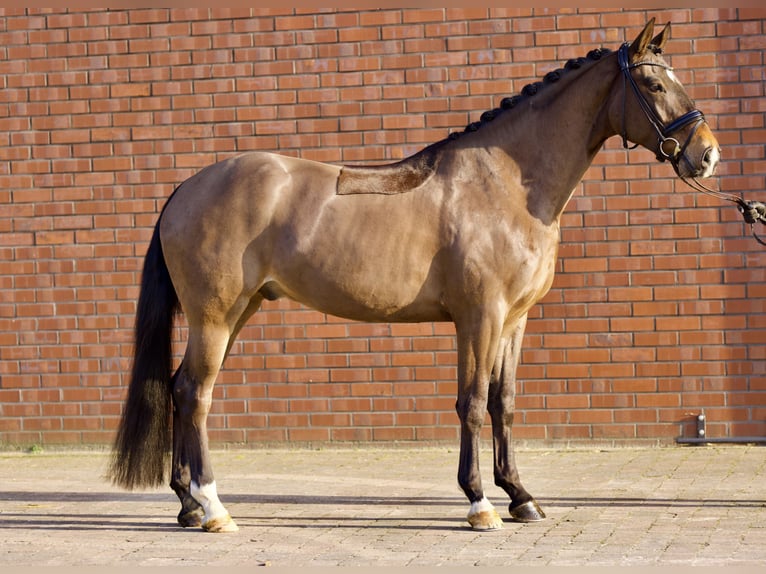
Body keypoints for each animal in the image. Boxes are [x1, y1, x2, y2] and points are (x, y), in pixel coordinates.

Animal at [109, 22, 720, 536]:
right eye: (652, 83)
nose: (707, 155)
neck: (505, 185)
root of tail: (186, 188)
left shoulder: (514, 321)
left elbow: (504, 403)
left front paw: (521, 497)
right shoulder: (479, 317)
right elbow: (471, 403)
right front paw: (480, 504)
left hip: (239, 311)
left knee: (178, 386)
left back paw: (188, 505)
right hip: (216, 316)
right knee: (195, 394)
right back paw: (213, 508)